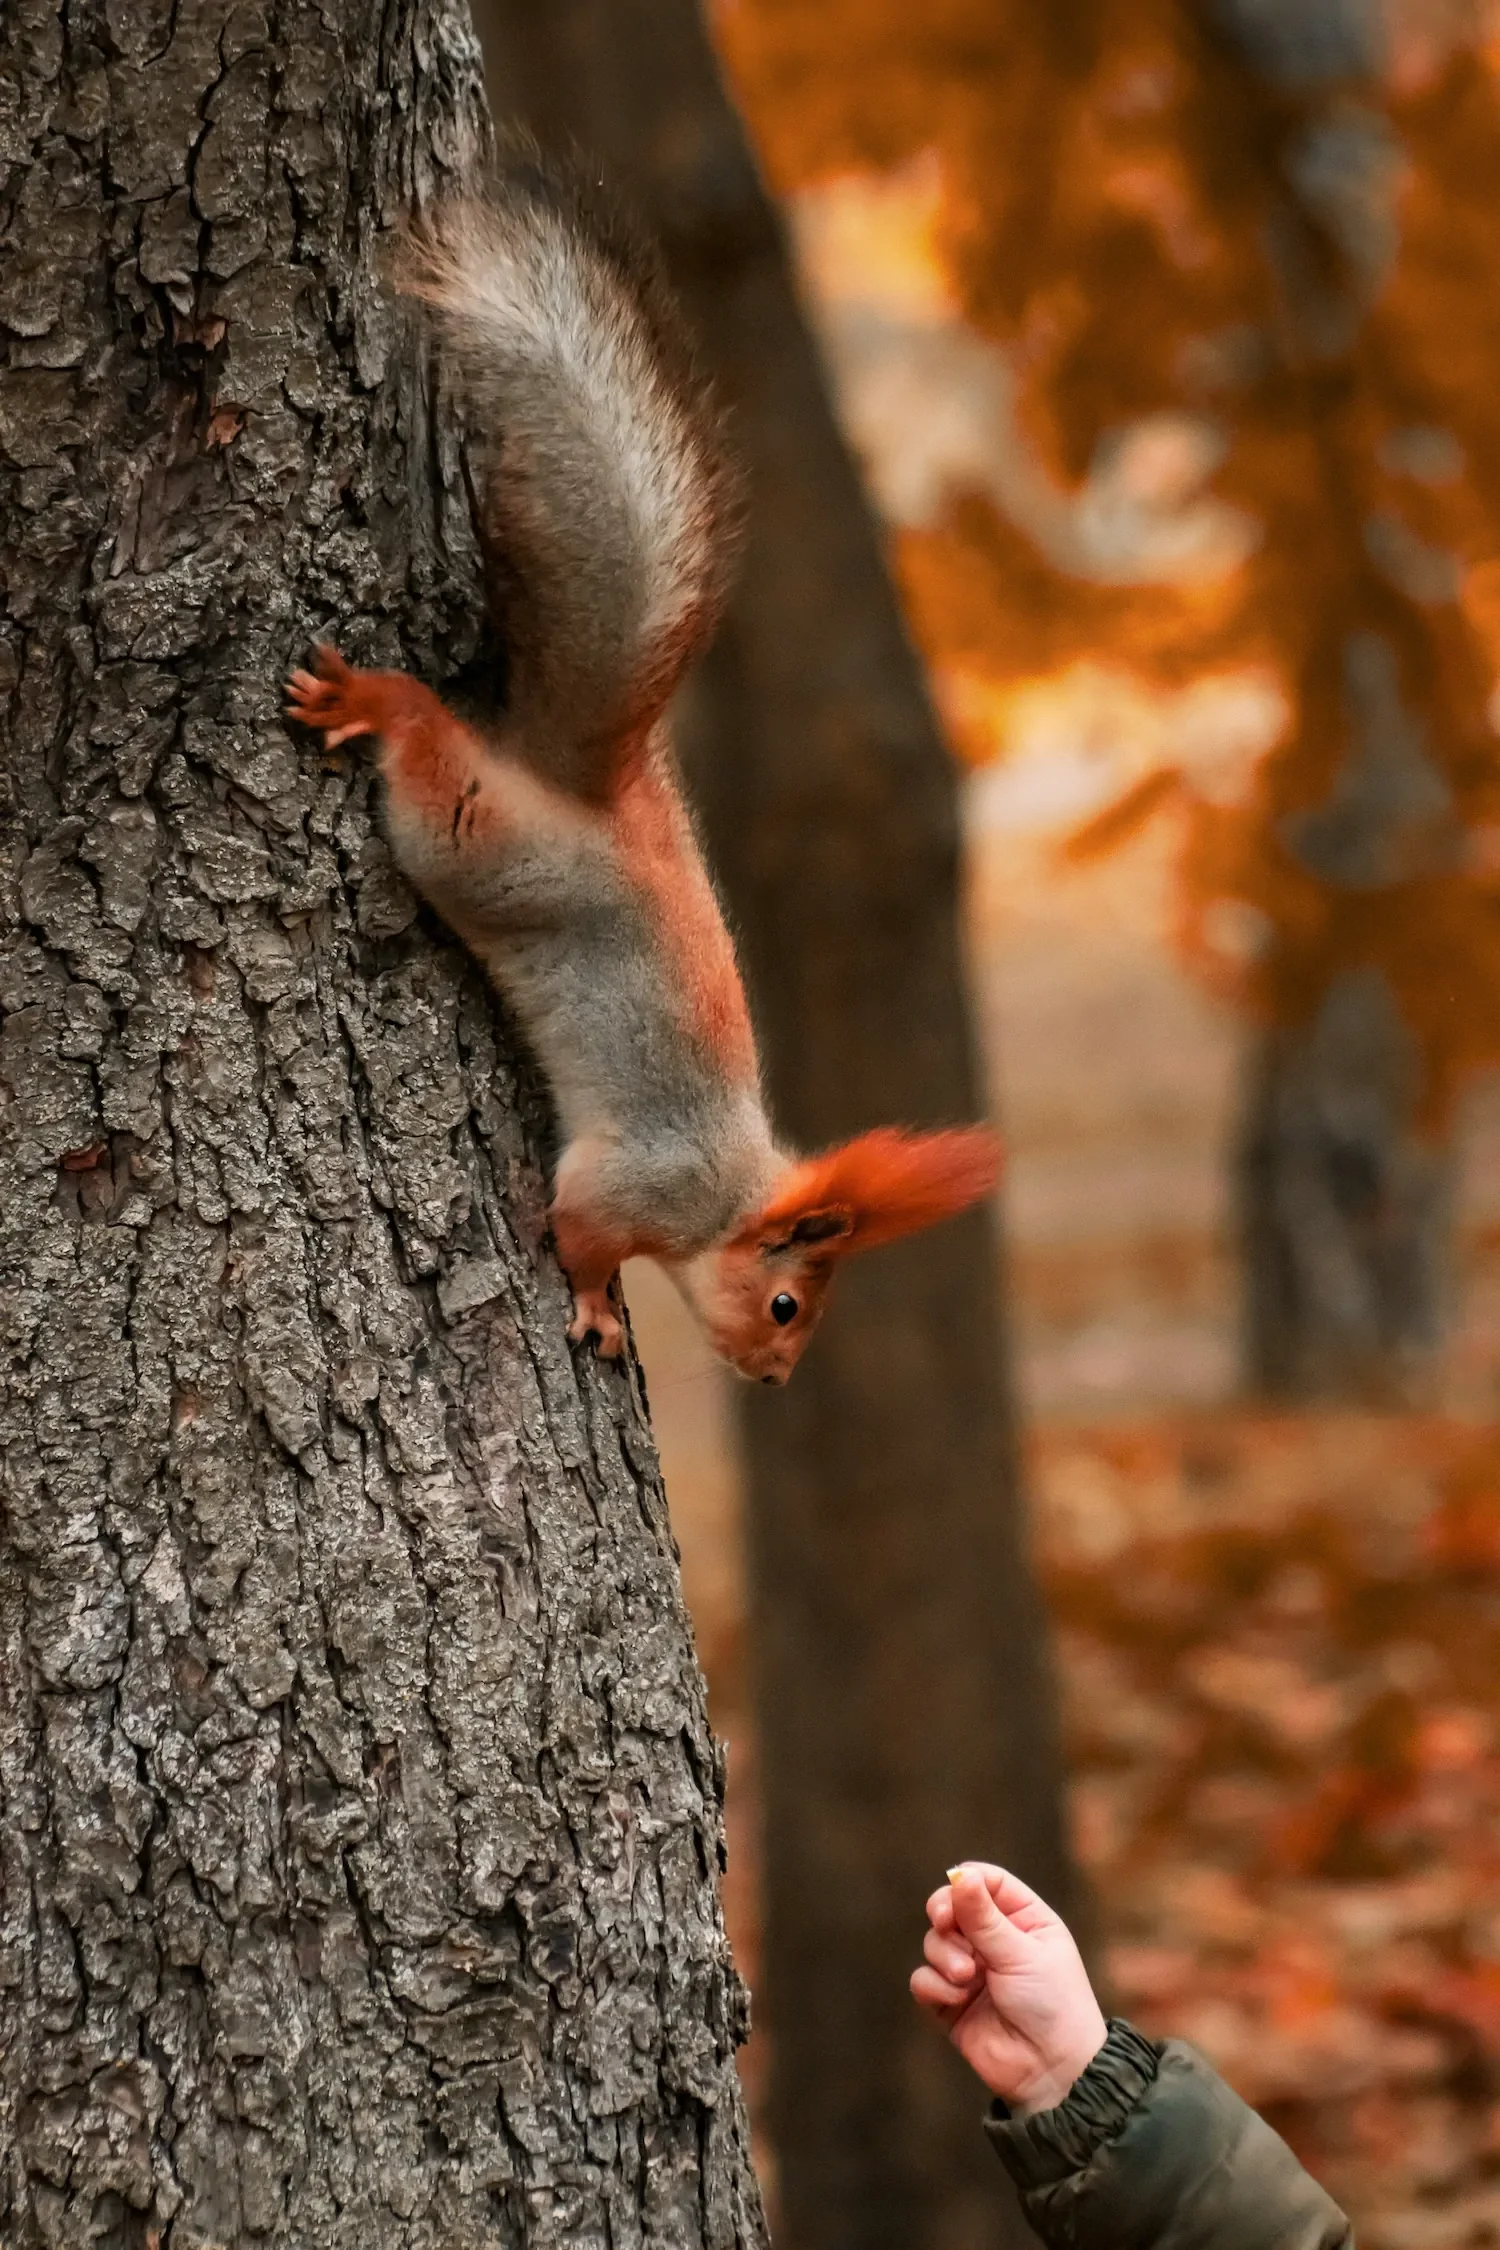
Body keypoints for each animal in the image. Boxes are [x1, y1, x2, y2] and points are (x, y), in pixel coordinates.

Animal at [285, 154, 1000, 1384]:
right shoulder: (629, 1183)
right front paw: (597, 1310)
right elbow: (578, 1234)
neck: (728, 1197)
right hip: (478, 845)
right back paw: (376, 702)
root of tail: (591, 803)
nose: (773, 1378)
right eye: (786, 1305)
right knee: (424, 749)